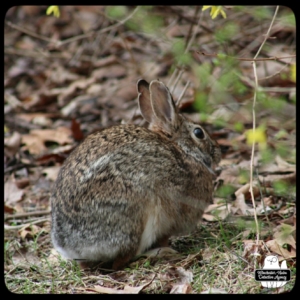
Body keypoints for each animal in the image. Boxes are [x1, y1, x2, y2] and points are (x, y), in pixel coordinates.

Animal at [50, 78, 221, 270]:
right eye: (199, 133)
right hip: (139, 212)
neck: (183, 150)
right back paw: (159, 252)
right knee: (124, 259)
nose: (218, 151)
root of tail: (70, 244)